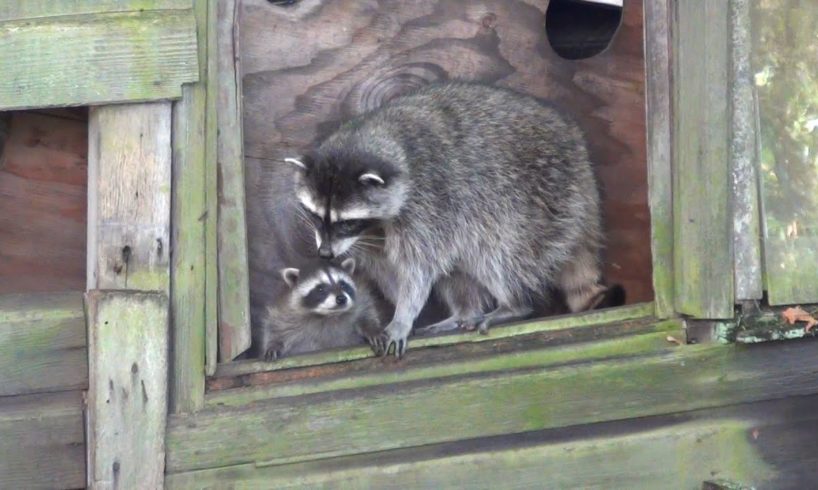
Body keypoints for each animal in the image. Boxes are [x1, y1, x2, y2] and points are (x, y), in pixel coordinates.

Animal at [253, 257, 382, 360]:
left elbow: (366, 312)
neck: (328, 315)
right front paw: (273, 344)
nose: (341, 299)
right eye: (320, 289)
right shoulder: (286, 309)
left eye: (342, 284)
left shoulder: (361, 296)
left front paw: (373, 329)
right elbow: (275, 326)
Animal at [286, 82, 623, 357]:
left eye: (346, 222)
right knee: (460, 269)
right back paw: (464, 311)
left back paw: (513, 302)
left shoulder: (428, 202)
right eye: (315, 215)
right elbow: (388, 269)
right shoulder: (373, 234)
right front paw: (400, 307)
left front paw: (404, 314)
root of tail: (581, 160)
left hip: (538, 201)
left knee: (499, 255)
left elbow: (419, 269)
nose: (324, 253)